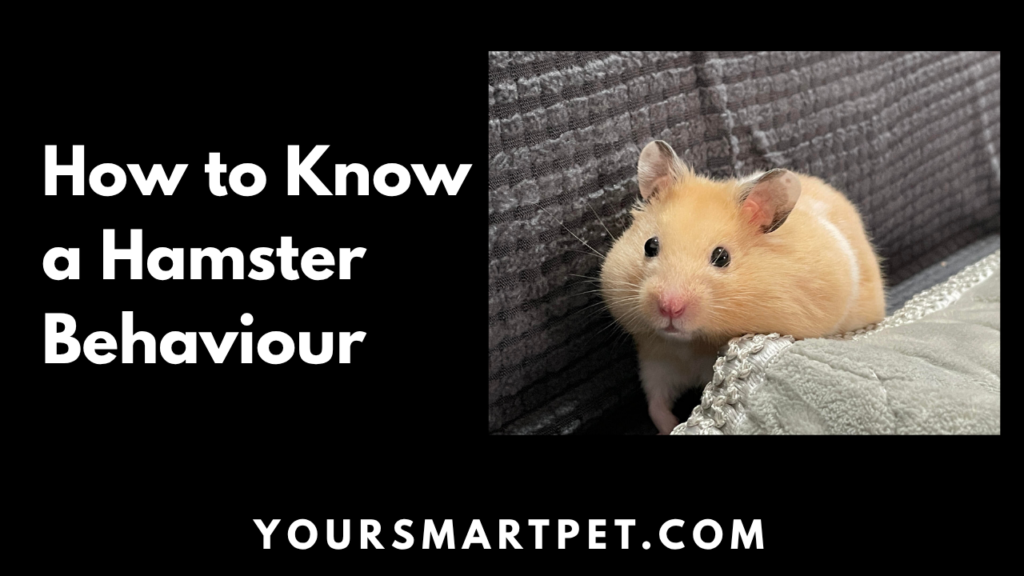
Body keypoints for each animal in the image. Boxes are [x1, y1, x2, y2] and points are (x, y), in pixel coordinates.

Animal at [600, 140, 885, 434]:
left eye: (722, 257)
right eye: (650, 245)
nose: (670, 307)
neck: (692, 346)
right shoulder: (657, 361)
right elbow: (656, 406)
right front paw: (671, 427)